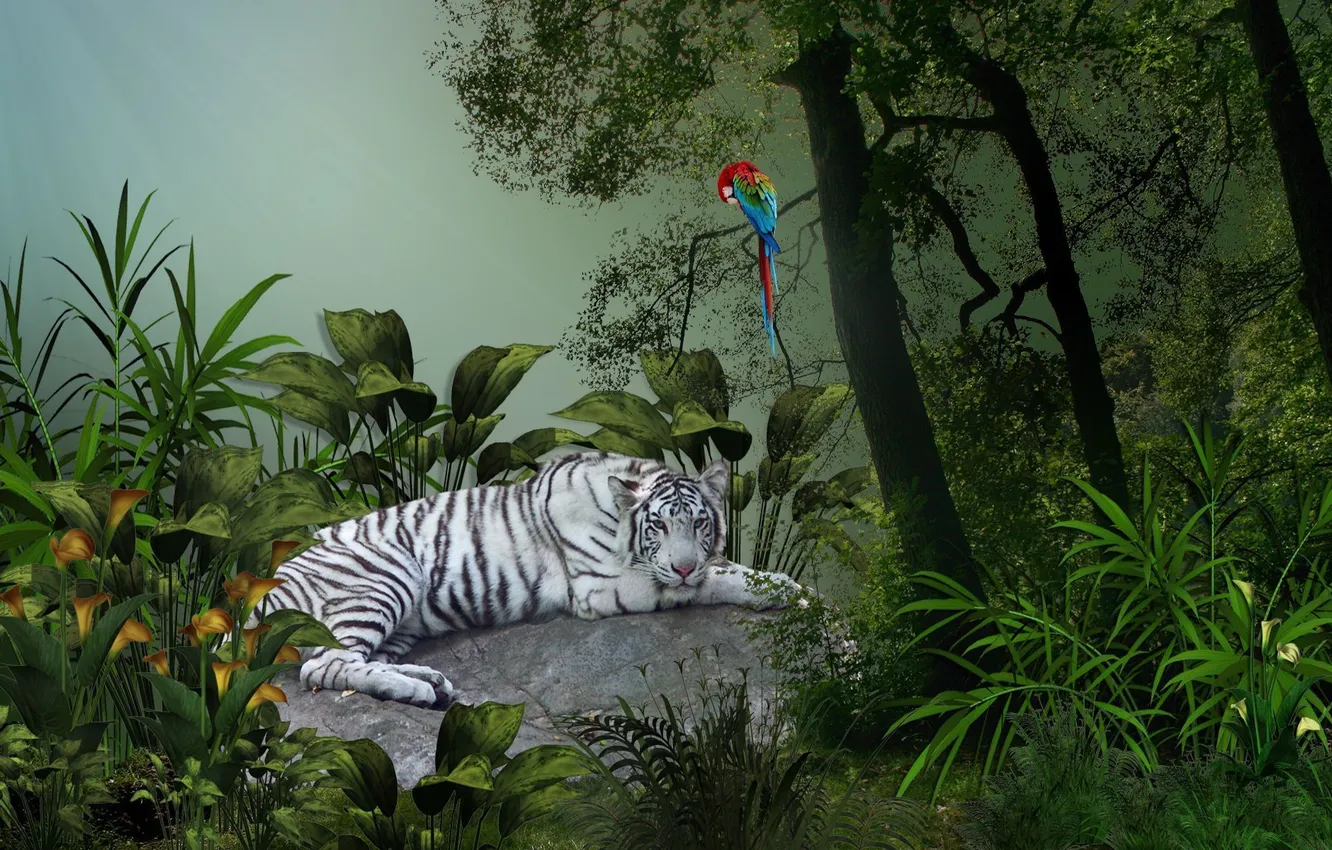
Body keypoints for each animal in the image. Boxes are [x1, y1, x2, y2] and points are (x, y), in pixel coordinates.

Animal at [256, 451, 809, 709]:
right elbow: (713, 579)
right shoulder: (602, 586)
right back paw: (416, 691)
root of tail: (266, 578)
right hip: (384, 575)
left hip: (404, 621)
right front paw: (777, 590)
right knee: (324, 667)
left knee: (356, 660)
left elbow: (726, 565)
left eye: (699, 523)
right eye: (658, 526)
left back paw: (429, 682)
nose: (683, 564)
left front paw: (790, 586)